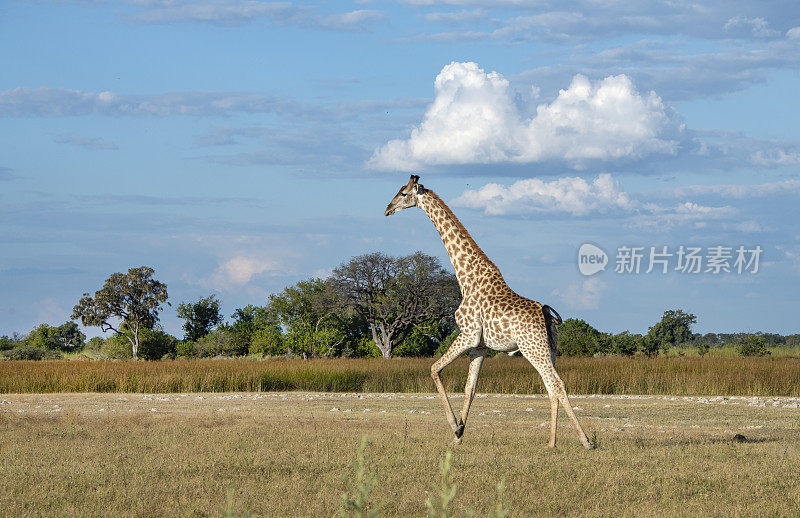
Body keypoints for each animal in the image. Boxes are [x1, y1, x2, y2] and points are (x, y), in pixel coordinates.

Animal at [384, 176, 596, 450]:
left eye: (403, 192)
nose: (388, 208)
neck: (466, 278)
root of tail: (547, 314)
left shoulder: (468, 334)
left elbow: (434, 369)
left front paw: (455, 427)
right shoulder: (480, 345)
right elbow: (469, 388)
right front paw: (458, 435)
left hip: (533, 348)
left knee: (557, 384)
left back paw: (585, 441)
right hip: (550, 349)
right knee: (551, 387)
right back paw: (551, 443)